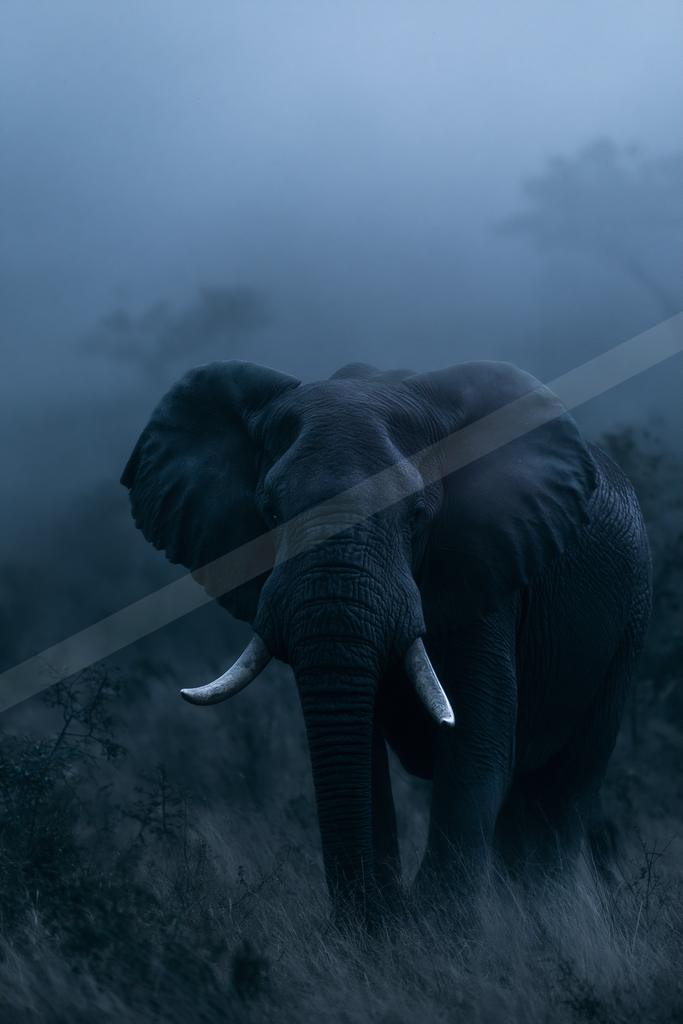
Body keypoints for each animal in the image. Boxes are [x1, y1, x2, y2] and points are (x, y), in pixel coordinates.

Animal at [121, 359, 651, 925]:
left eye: (416, 514)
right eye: (270, 511)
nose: (377, 912)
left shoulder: (488, 568)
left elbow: (477, 739)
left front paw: (437, 926)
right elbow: (362, 747)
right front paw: (381, 926)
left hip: (629, 620)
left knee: (567, 785)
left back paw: (553, 911)